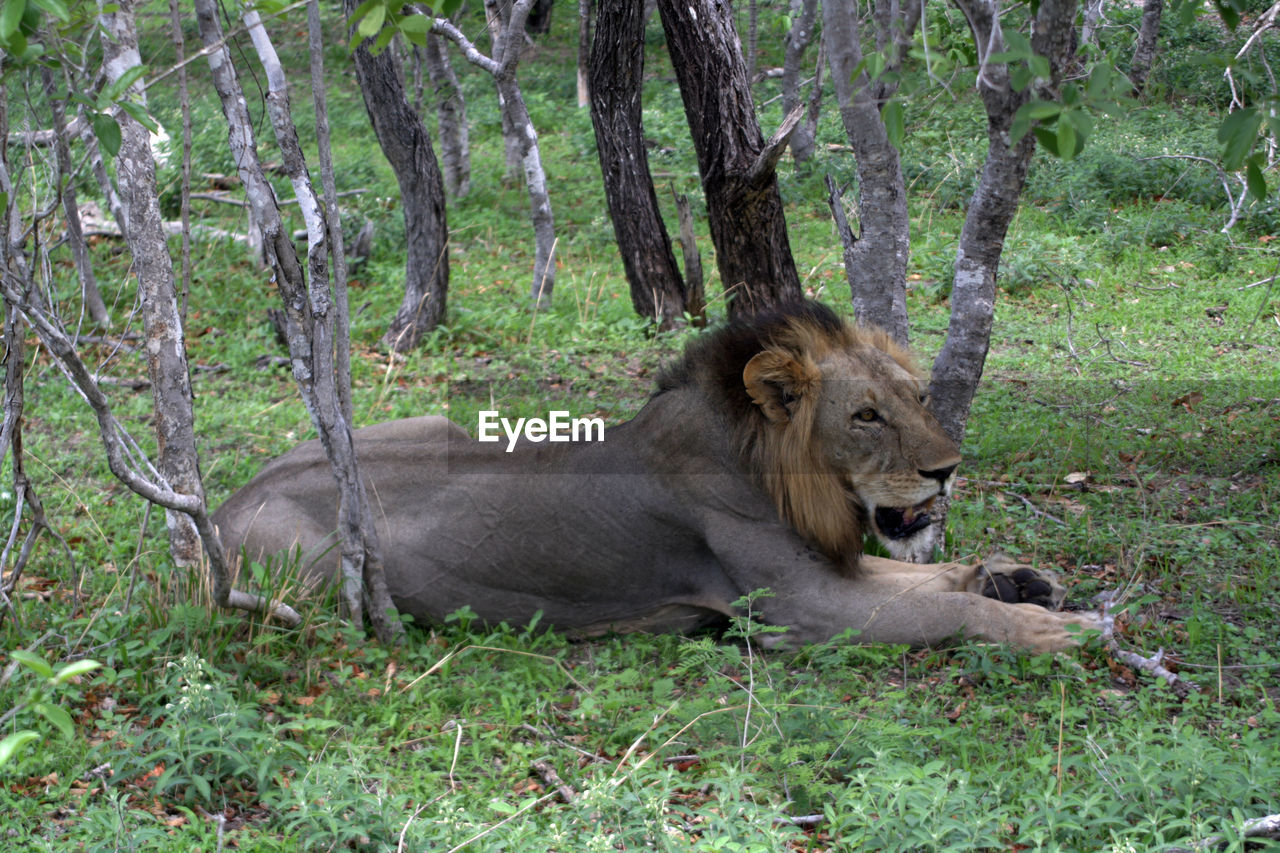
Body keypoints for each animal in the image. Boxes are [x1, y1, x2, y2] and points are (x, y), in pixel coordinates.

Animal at [217, 302, 1100, 648]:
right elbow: (946, 610)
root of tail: (223, 504)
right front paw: (1050, 629)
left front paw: (1019, 578)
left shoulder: (832, 568)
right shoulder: (801, 609)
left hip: (427, 422)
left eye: (917, 398)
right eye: (865, 417)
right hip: (317, 573)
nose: (946, 470)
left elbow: (941, 577)